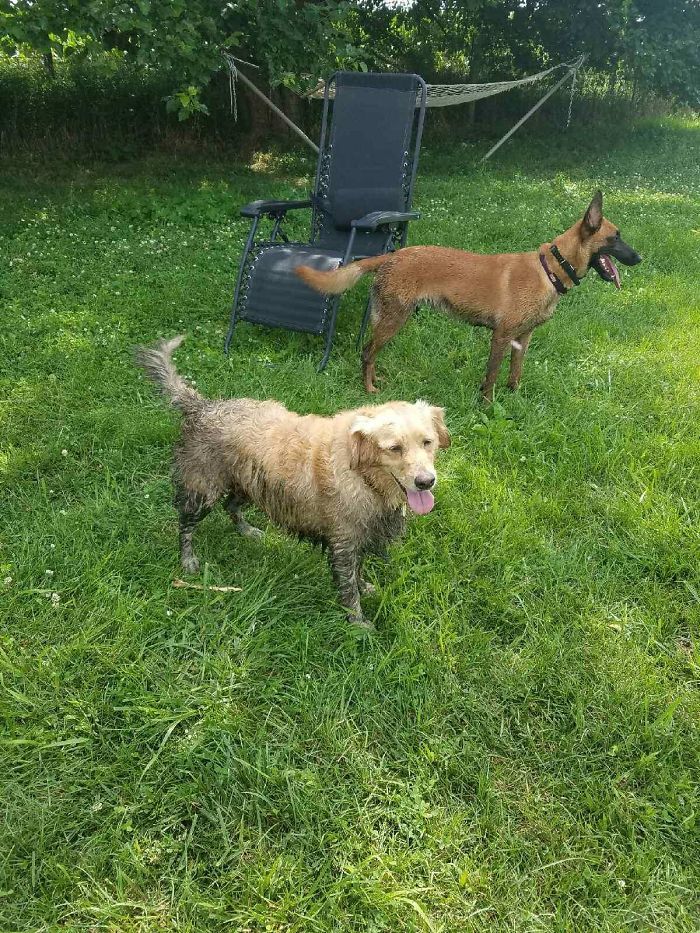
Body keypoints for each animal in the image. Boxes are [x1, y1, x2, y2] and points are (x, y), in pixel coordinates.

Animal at [135, 334, 448, 628]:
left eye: (427, 442)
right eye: (394, 448)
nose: (425, 481)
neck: (363, 476)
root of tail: (203, 406)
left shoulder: (359, 535)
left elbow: (358, 573)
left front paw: (365, 588)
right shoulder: (344, 541)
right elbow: (348, 588)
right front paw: (358, 623)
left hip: (249, 482)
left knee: (231, 506)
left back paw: (248, 531)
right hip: (203, 489)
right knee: (186, 524)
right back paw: (188, 559)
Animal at [296, 191, 640, 398]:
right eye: (616, 238)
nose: (639, 258)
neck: (550, 268)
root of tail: (392, 256)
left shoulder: (523, 339)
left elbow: (515, 372)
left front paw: (513, 397)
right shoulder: (501, 336)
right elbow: (491, 375)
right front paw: (486, 404)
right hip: (394, 320)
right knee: (367, 352)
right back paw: (369, 389)